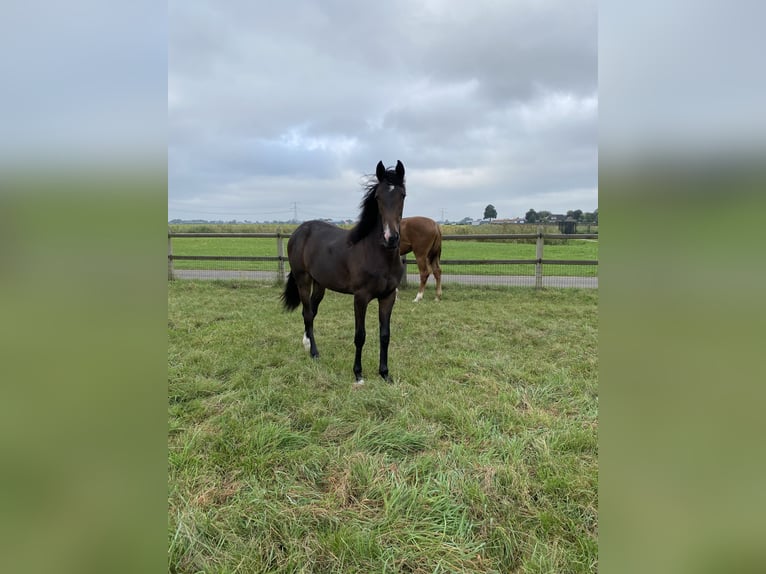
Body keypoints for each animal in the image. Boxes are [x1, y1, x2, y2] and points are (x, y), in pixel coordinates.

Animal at [284, 161, 408, 388]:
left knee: (311, 312)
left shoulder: (388, 297)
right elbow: (360, 335)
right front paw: (358, 375)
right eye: (378, 197)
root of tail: (299, 230)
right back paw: (314, 352)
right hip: (303, 279)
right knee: (307, 312)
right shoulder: (360, 298)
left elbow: (385, 335)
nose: (391, 238)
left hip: (320, 284)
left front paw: (385, 374)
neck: (377, 254)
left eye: (402, 195)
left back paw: (306, 343)